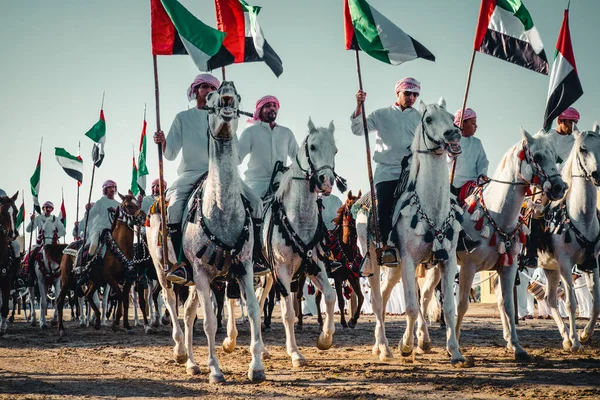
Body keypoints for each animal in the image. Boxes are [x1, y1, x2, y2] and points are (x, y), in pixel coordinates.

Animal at [146, 82, 264, 384]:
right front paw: (215, 370)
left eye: (238, 95)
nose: (227, 89)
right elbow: (210, 322)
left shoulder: (244, 267)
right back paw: (180, 352)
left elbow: (254, 312)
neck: (221, 210)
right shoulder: (200, 272)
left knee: (188, 312)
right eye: (209, 95)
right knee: (171, 303)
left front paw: (256, 367)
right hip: (166, 271)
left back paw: (191, 363)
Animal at [258, 118, 342, 366]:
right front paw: (295, 353)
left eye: (335, 150)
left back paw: (262, 350)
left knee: (256, 304)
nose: (327, 181)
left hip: (267, 277)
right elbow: (288, 313)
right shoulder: (282, 272)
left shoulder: (315, 265)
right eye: (312, 147)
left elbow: (330, 296)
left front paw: (325, 339)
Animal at [356, 98, 464, 364]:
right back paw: (384, 348)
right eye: (429, 119)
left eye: (452, 117)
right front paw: (405, 346)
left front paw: (455, 351)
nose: (453, 134)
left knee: (386, 296)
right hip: (373, 261)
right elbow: (412, 307)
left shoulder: (445, 261)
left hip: (395, 267)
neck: (432, 207)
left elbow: (448, 308)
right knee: (376, 301)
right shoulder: (407, 260)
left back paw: (381, 345)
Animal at [422, 130, 564, 360]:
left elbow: (507, 306)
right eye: (538, 156)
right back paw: (421, 339)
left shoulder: (508, 267)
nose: (561, 187)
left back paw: (423, 340)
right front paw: (455, 344)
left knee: (426, 296)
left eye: (555, 155)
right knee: (426, 296)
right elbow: (462, 305)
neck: (496, 213)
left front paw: (517, 346)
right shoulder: (469, 267)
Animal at [540, 124, 600, 350]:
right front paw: (576, 341)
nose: (597, 174)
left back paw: (565, 336)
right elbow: (571, 302)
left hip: (550, 268)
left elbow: (596, 300)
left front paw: (583, 334)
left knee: (550, 299)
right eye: (582, 149)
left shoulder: (592, 261)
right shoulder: (566, 263)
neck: (580, 216)